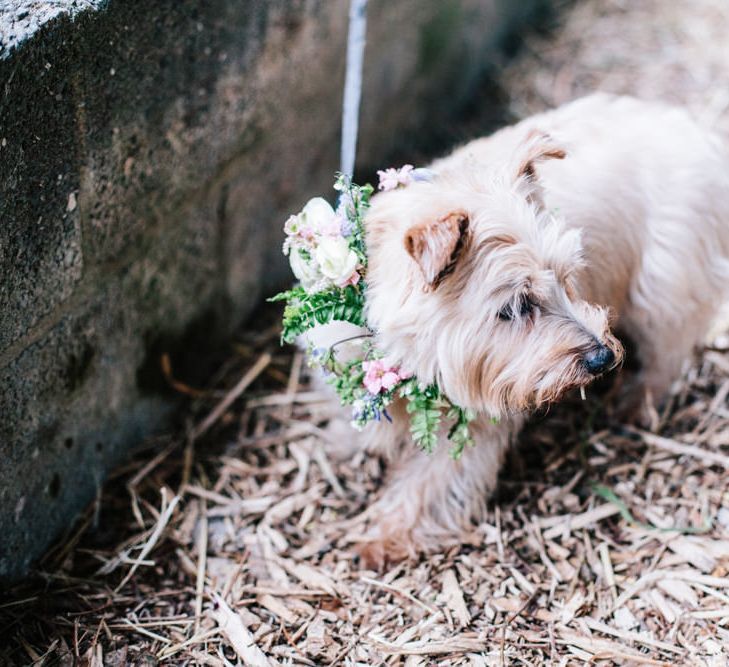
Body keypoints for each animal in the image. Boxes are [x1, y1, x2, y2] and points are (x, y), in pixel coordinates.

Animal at [314, 94, 729, 568]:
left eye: (567, 279)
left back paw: (635, 402)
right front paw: (351, 441)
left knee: (667, 352)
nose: (603, 358)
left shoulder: (475, 416)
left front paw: (388, 535)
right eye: (515, 307)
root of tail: (695, 130)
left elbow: (431, 481)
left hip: (662, 283)